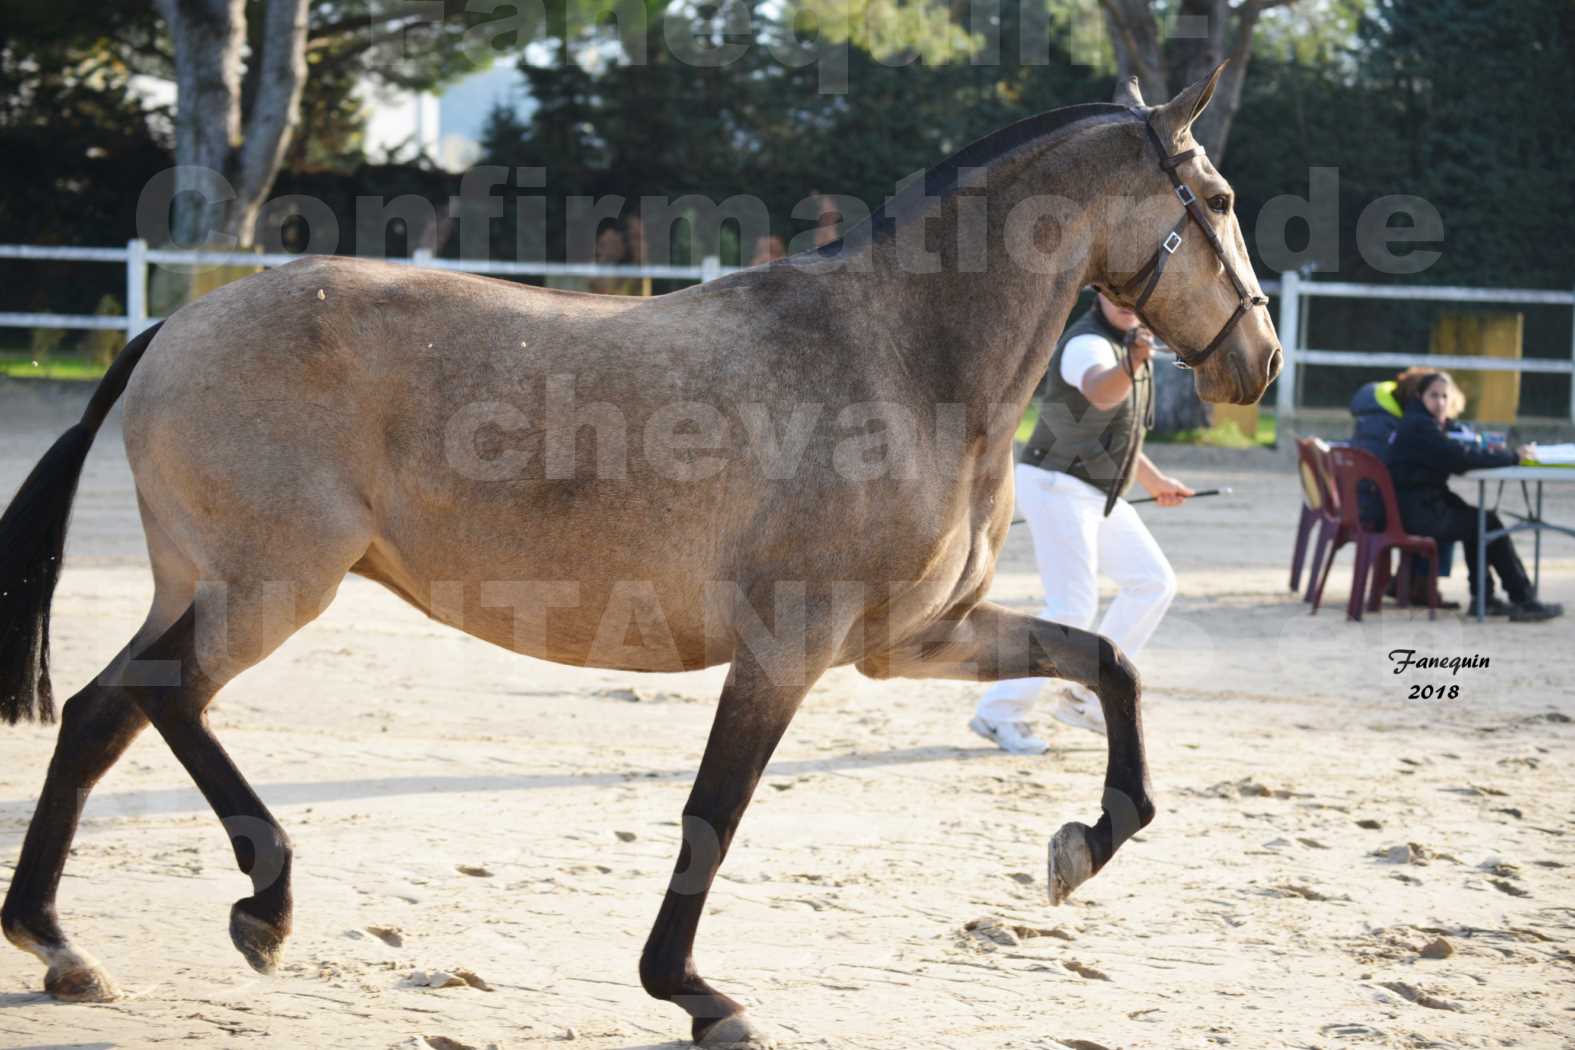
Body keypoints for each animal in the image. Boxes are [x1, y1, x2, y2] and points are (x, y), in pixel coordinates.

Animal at [0, 69, 1272, 1045]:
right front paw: (696, 994)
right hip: (269, 588)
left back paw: (60, 947)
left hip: (208, 586)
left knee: (104, 713)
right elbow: (715, 813)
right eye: (1215, 196)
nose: (1257, 357)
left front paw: (1084, 846)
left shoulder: (911, 641)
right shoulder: (785, 650)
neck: (904, 361)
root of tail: (170, 327)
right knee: (161, 701)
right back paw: (259, 908)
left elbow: (1107, 662)